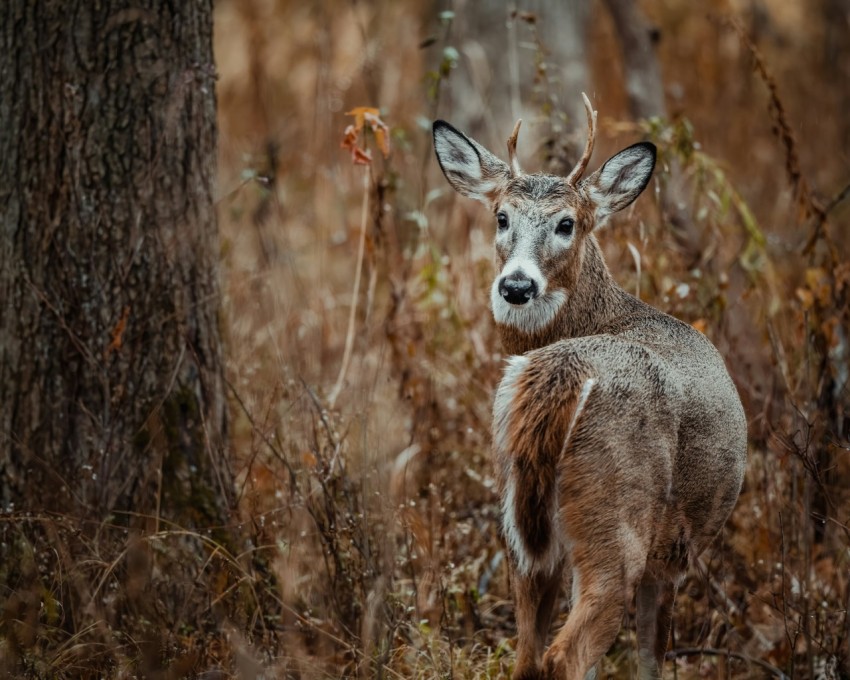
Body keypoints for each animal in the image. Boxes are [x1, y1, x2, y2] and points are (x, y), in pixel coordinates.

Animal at [432, 94, 747, 680]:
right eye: (502, 217)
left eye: (567, 224)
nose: (516, 285)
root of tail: (566, 371)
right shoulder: (673, 555)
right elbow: (650, 658)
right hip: (618, 519)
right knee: (566, 653)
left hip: (519, 527)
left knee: (528, 654)